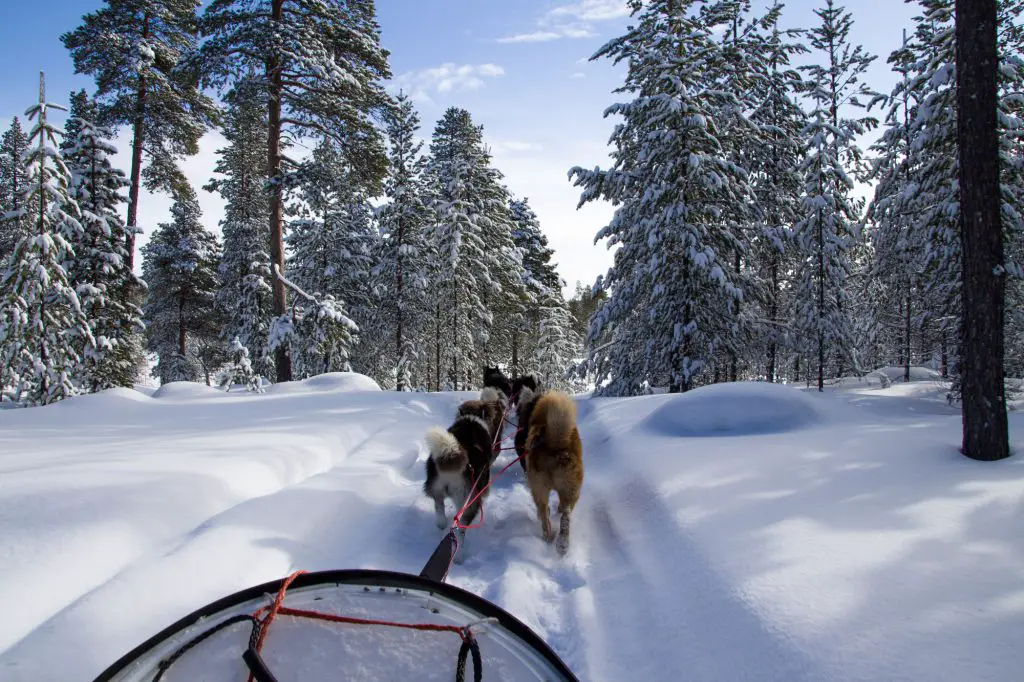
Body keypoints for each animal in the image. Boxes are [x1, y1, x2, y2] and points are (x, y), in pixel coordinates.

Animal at [520, 387, 585, 552]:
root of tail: (556, 446)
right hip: (568, 491)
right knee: (562, 513)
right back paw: (560, 541)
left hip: (546, 491)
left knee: (547, 515)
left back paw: (553, 540)